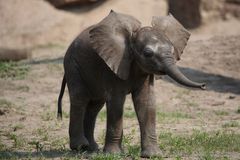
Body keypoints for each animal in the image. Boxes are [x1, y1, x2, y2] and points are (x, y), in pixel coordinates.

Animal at [57, 10, 204, 158]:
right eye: (148, 53)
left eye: (173, 50)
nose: (203, 86)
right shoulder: (112, 66)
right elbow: (116, 104)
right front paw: (114, 155)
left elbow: (146, 102)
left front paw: (153, 155)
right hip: (73, 65)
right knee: (80, 99)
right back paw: (80, 146)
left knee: (95, 106)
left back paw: (92, 149)